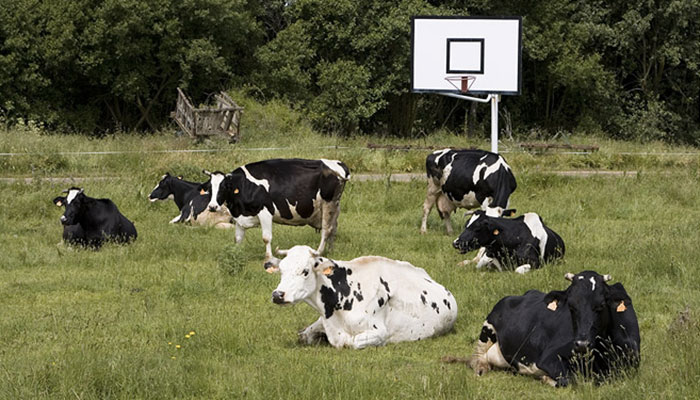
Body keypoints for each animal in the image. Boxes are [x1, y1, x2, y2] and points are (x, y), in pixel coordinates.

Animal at [201, 158, 350, 268]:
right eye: (209, 188)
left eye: (224, 187)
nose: (212, 206)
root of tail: (338, 164)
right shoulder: (239, 216)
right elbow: (238, 238)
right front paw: (235, 255)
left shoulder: (265, 211)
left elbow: (266, 238)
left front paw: (268, 259)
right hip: (335, 206)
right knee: (333, 228)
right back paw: (331, 251)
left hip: (328, 203)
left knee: (326, 230)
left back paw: (317, 252)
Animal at [268, 245, 460, 348]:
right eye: (281, 270)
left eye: (305, 271)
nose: (278, 295)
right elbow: (304, 335)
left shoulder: (379, 332)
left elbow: (349, 342)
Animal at [464, 270, 640, 386]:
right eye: (571, 306)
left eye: (601, 305)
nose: (582, 344)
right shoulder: (548, 358)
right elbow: (569, 379)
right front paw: (546, 378)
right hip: (487, 329)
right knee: (476, 358)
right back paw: (481, 368)